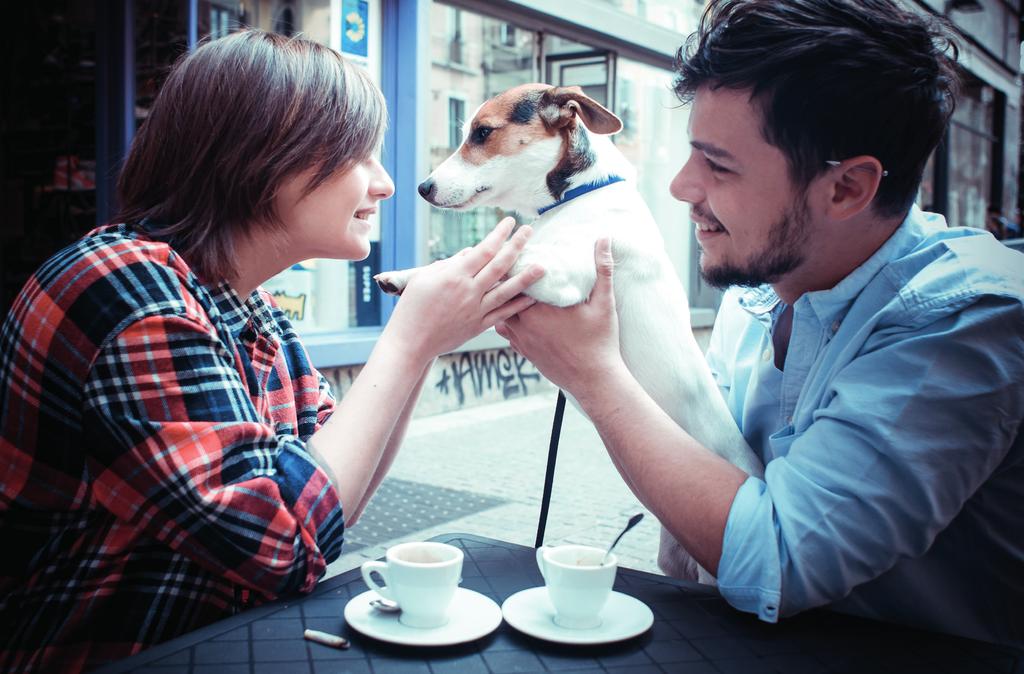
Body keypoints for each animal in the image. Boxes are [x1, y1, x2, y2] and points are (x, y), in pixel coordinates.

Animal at [374, 82, 761, 577]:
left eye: (482, 132)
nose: (423, 188)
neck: (578, 197)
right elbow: (467, 255)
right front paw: (405, 277)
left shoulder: (557, 277)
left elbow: (495, 257)